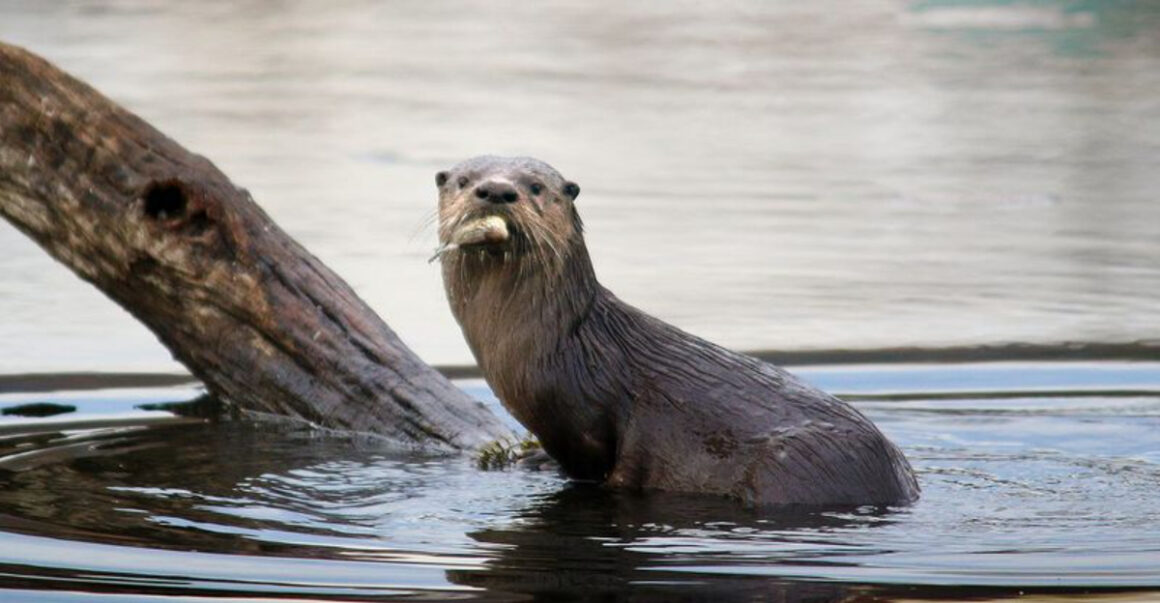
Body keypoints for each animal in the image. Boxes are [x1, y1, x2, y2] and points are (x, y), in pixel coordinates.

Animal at [434, 156, 919, 507]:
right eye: (464, 180)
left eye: (536, 187)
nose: (497, 189)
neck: (565, 346)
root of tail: (903, 482)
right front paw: (533, 458)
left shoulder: (590, 421)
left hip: (796, 465)